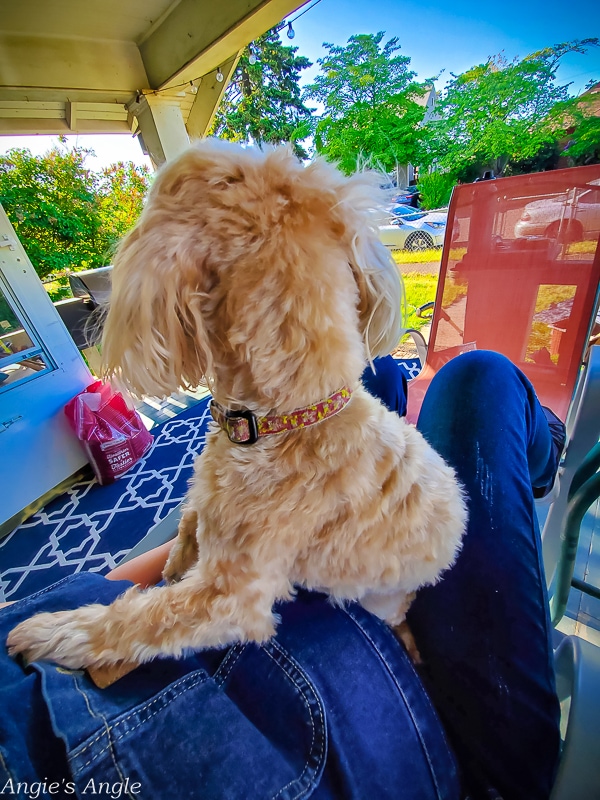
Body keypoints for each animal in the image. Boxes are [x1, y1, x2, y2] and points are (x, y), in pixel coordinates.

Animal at [7, 142, 466, 668]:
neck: (287, 418)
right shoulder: (209, 500)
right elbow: (191, 512)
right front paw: (177, 557)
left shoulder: (228, 598)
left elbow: (137, 620)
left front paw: (49, 631)